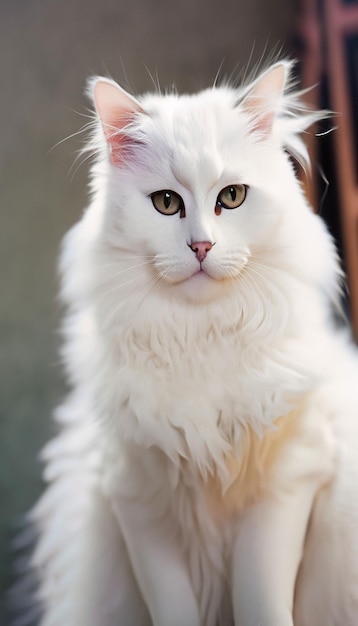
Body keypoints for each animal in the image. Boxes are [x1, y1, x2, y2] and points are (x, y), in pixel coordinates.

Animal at [20, 62, 358, 624]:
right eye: (166, 203)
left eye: (232, 197)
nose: (202, 246)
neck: (199, 337)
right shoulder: (138, 502)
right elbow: (173, 607)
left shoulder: (285, 485)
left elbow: (261, 602)